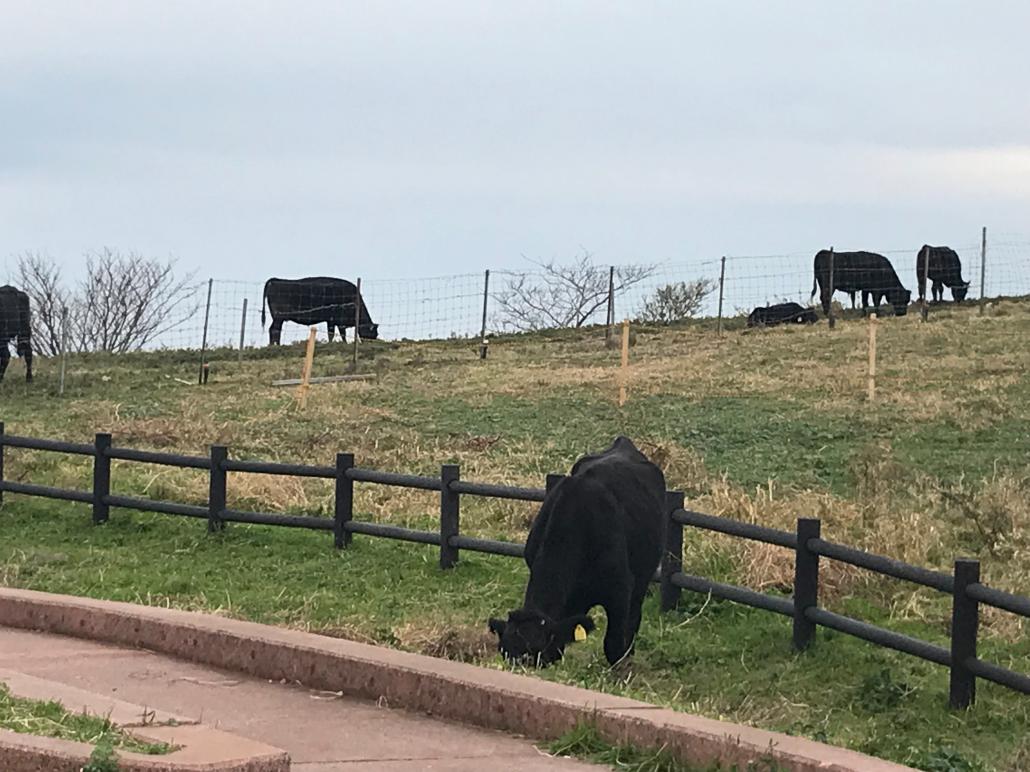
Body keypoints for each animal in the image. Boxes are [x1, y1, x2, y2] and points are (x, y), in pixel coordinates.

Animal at [488, 438, 667, 667]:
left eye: (538, 654)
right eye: (505, 653)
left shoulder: (621, 590)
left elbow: (613, 644)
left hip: (642, 577)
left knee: (634, 616)